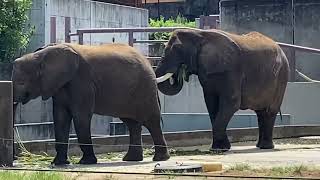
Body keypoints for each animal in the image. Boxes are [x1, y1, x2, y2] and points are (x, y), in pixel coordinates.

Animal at [12, 42, 171, 165]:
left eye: (21, 83)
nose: (15, 158)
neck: (41, 55)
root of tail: (148, 62)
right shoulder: (59, 85)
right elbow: (60, 117)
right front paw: (59, 163)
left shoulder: (82, 82)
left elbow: (80, 116)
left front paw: (85, 162)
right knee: (132, 123)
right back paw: (131, 159)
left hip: (145, 89)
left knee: (151, 121)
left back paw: (160, 159)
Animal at [155, 28, 290, 151]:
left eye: (178, 49)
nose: (180, 72)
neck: (199, 34)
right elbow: (211, 104)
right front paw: (220, 148)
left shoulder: (231, 69)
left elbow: (231, 102)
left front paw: (219, 149)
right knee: (261, 112)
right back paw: (260, 146)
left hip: (282, 76)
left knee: (270, 111)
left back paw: (266, 147)